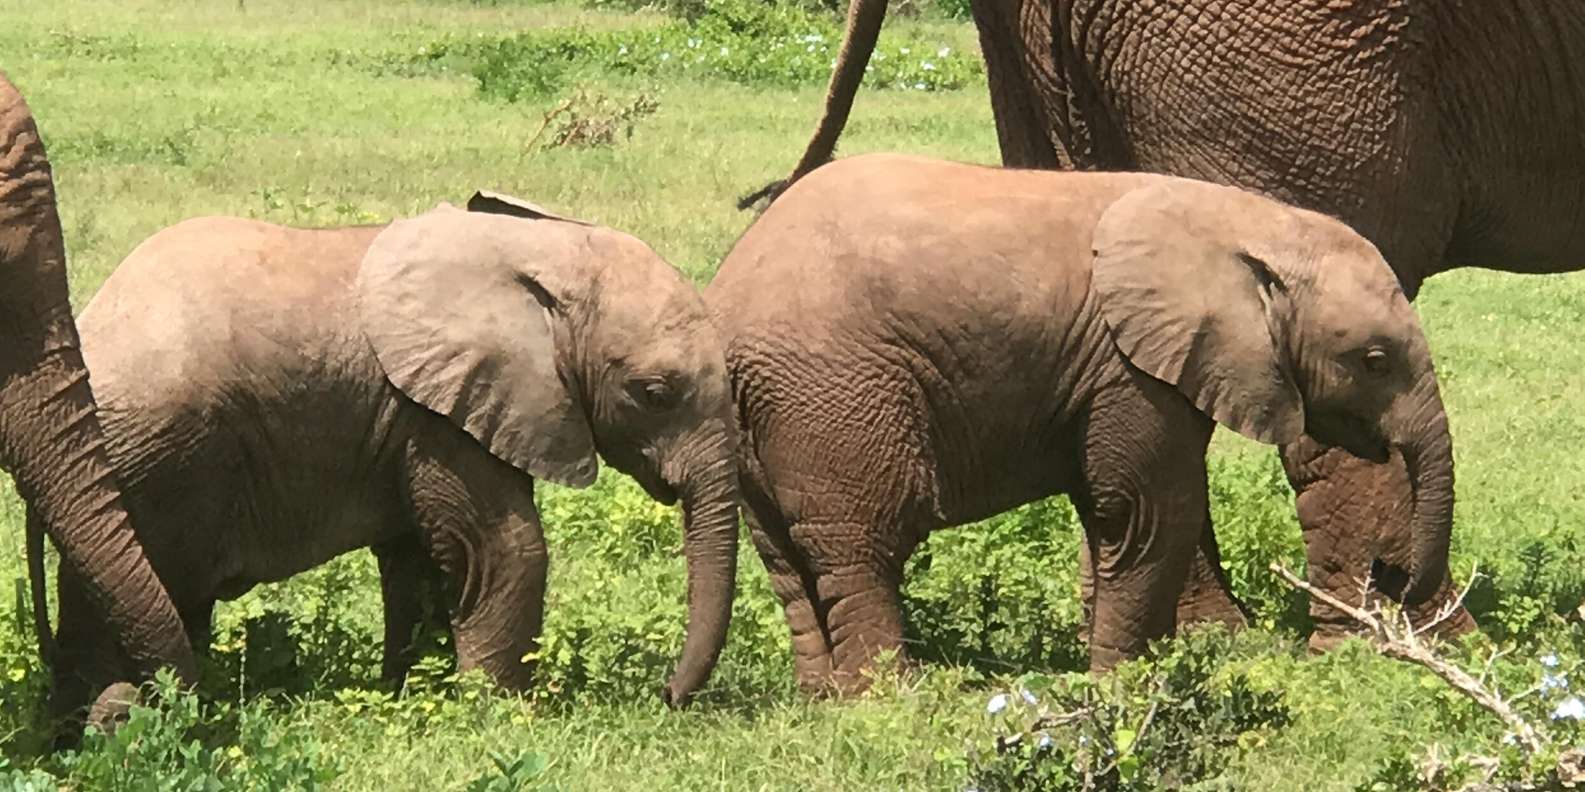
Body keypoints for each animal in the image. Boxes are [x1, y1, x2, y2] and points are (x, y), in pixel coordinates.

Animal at [35, 190, 741, 719]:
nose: (668, 696)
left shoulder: (414, 418)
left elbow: (416, 558)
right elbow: (504, 547)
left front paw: (413, 693)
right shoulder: (443, 412)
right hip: (162, 455)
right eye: (655, 393)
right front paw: (501, 713)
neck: (534, 254)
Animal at [713, 151, 1451, 690]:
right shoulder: (1130, 368)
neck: (1252, 221)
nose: (1392, 578)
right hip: (830, 397)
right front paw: (1123, 688)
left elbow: (1112, 518)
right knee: (861, 547)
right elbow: (1147, 514)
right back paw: (891, 703)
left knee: (788, 560)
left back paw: (823, 700)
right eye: (1374, 360)